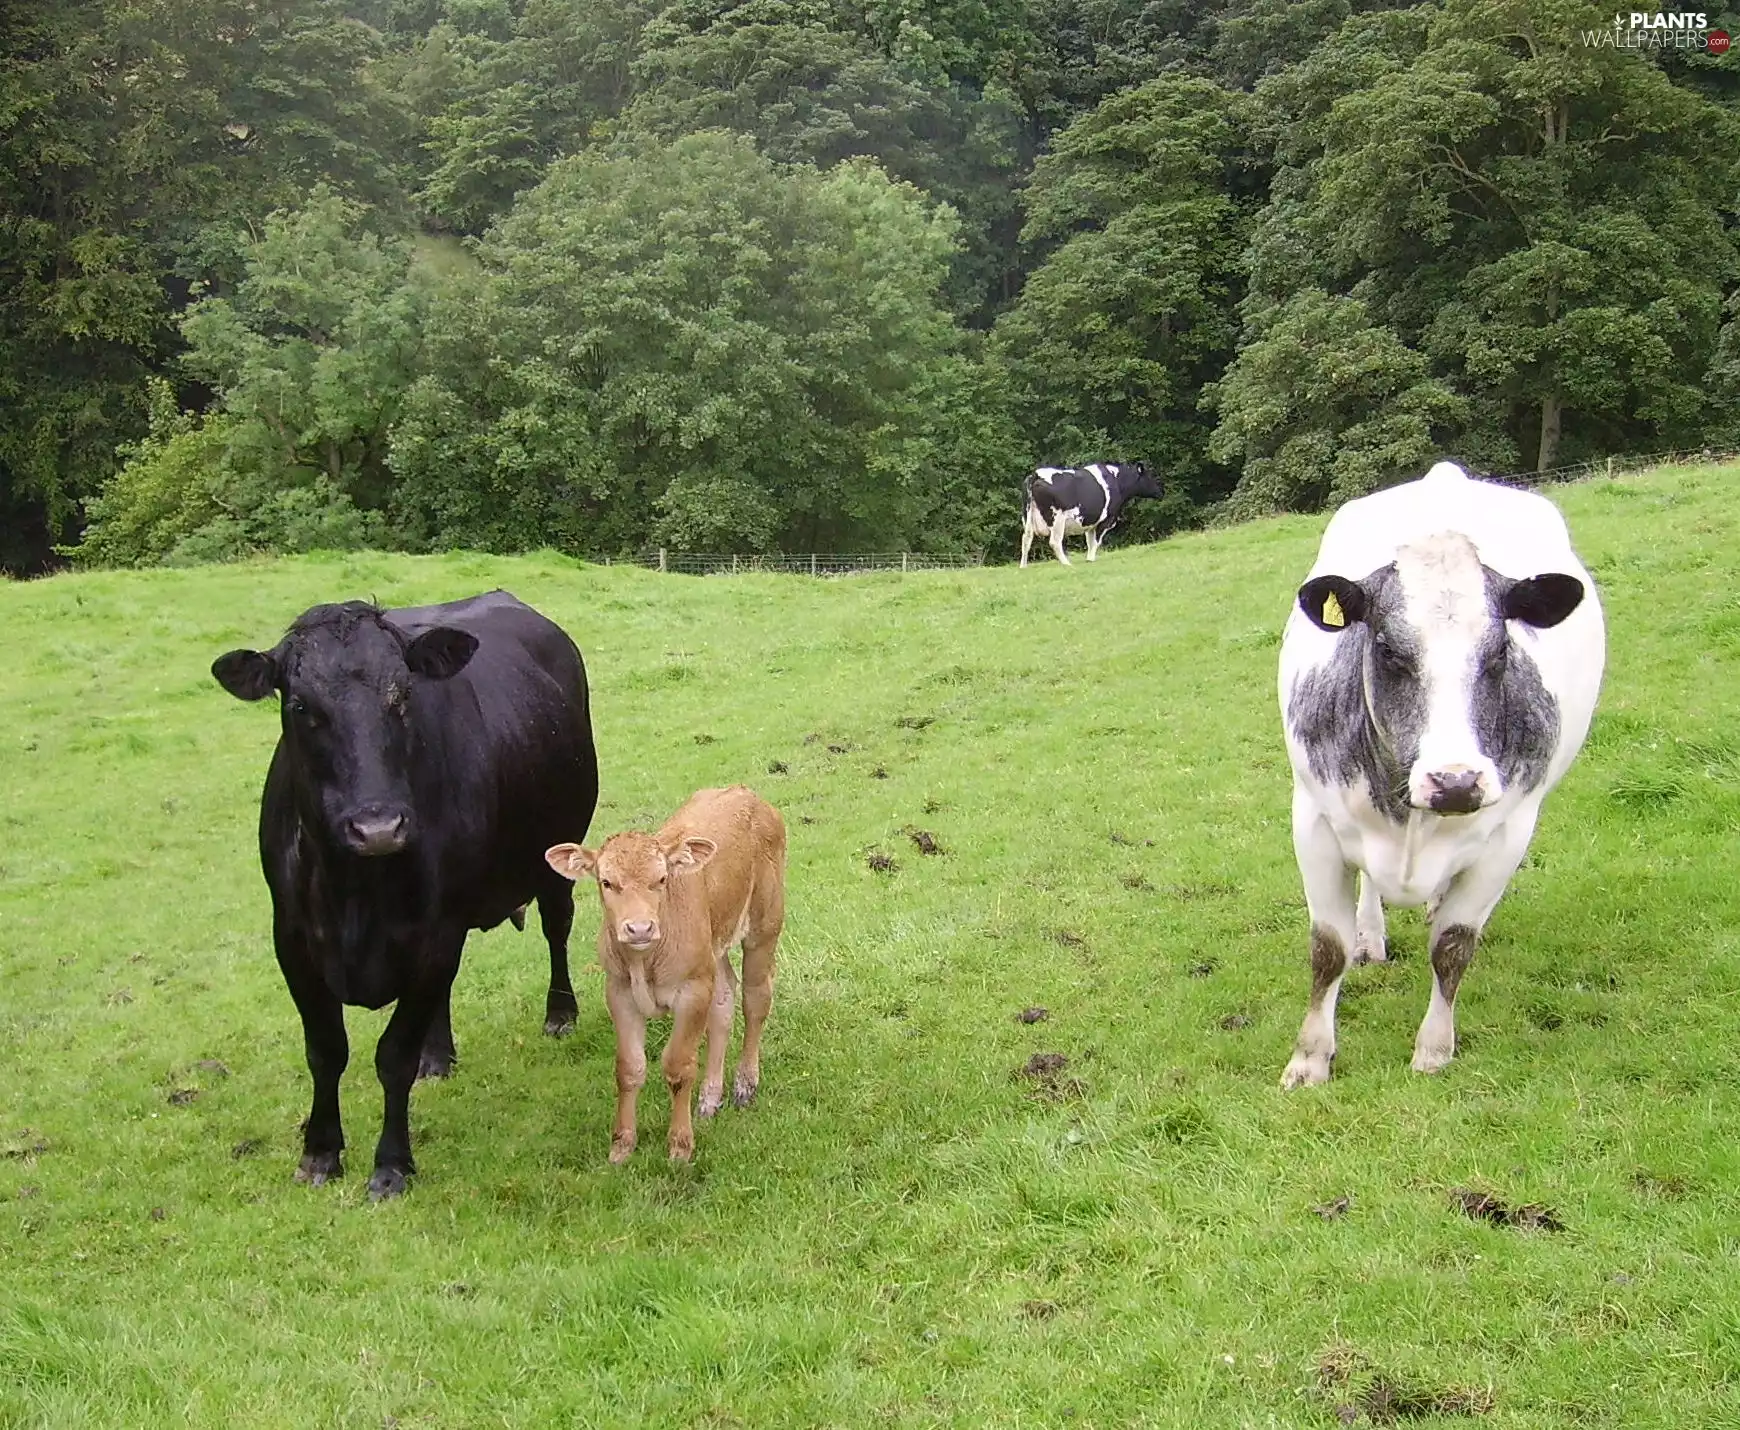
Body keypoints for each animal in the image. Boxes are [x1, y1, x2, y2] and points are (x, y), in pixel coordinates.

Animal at [210, 591, 599, 1198]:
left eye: (404, 695)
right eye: (299, 705)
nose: (378, 828)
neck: (355, 894)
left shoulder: (436, 933)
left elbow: (392, 1055)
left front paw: (391, 1164)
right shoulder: (292, 940)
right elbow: (326, 1049)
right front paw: (319, 1152)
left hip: (556, 852)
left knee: (556, 927)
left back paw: (559, 1013)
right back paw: (437, 1056)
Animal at [544, 786, 786, 1165]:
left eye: (661, 879)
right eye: (606, 882)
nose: (640, 928)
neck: (645, 962)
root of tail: (746, 793)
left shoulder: (691, 992)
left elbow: (678, 1066)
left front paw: (680, 1145)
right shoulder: (619, 993)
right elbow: (629, 1068)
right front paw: (622, 1145)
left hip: (765, 925)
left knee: (755, 999)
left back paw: (745, 1084)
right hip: (712, 951)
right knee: (724, 1001)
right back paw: (710, 1096)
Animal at [1019, 461, 1164, 567]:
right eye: (1150, 477)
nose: (1161, 492)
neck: (1117, 481)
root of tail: (1036, 474)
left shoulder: (1090, 523)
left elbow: (1090, 541)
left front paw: (1089, 558)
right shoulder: (1106, 519)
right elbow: (1096, 541)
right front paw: (1091, 559)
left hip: (1028, 517)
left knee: (1026, 539)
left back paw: (1023, 566)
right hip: (1057, 519)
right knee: (1054, 541)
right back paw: (1066, 563)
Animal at [1276, 461, 1605, 1089]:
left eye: (1500, 651)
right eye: (1386, 649)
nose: (1455, 782)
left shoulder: (1508, 835)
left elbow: (1453, 946)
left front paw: (1433, 1049)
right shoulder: (1313, 819)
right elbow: (1326, 948)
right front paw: (1308, 1059)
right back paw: (1371, 937)